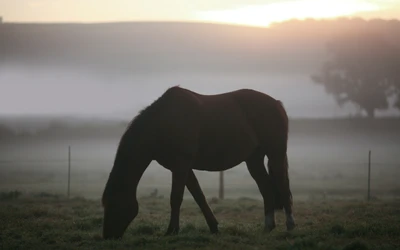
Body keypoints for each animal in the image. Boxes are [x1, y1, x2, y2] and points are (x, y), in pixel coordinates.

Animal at [101, 86, 296, 240]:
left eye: (113, 204)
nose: (108, 236)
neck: (163, 124)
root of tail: (277, 103)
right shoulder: (183, 168)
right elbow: (199, 196)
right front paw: (214, 227)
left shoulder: (181, 166)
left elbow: (176, 198)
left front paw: (171, 231)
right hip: (253, 159)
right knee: (267, 189)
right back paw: (267, 228)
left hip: (276, 154)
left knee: (283, 185)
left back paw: (290, 226)